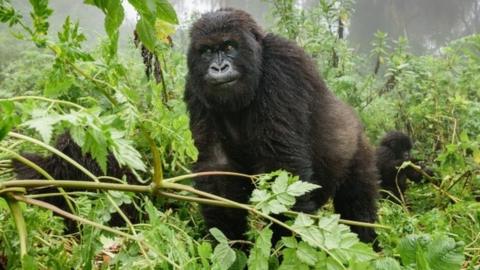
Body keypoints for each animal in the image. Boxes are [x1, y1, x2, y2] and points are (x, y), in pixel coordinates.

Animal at [184, 8, 378, 245]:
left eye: (228, 47)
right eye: (207, 51)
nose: (218, 67)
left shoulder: (282, 65)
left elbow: (281, 166)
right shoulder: (194, 87)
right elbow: (217, 164)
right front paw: (229, 242)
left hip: (360, 150)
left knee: (357, 206)